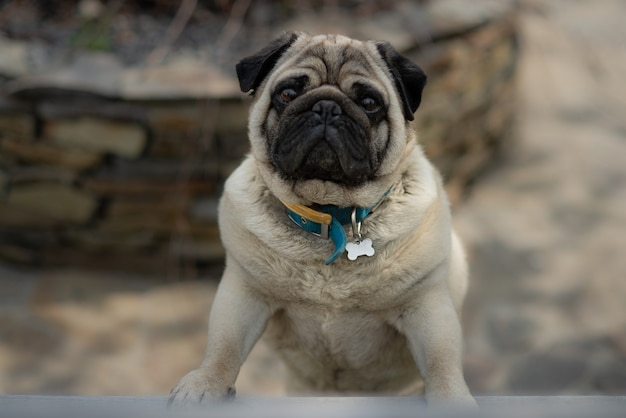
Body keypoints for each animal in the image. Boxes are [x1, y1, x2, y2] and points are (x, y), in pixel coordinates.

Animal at [168, 31, 470, 404]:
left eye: (369, 103)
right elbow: (223, 345)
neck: (331, 214)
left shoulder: (426, 304)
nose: (327, 107)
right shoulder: (243, 293)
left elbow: (442, 360)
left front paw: (452, 400)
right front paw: (205, 383)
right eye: (287, 94)